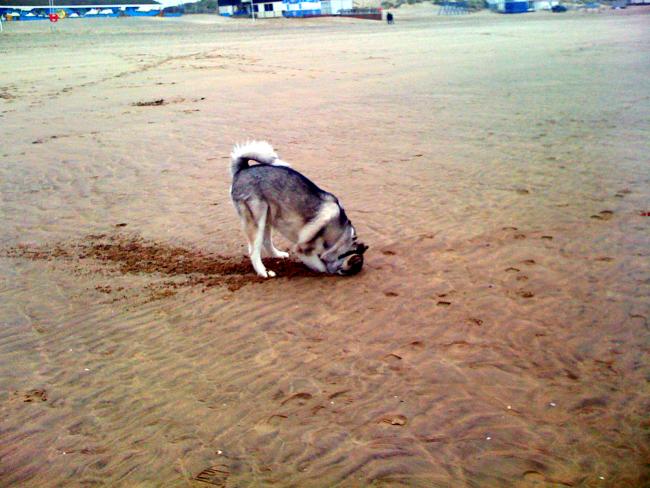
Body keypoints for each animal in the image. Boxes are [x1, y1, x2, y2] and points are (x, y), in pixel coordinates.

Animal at [229, 141, 368, 278]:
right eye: (344, 271)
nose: (333, 273)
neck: (340, 238)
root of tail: (243, 169)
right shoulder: (303, 250)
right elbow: (320, 267)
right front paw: (323, 271)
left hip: (267, 218)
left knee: (266, 242)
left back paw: (278, 255)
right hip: (258, 221)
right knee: (253, 251)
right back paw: (263, 272)